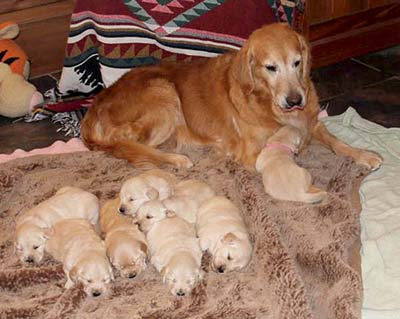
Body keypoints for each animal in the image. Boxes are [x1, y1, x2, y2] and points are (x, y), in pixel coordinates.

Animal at [80, 23, 382, 180]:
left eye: (297, 62)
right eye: (270, 68)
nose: (295, 100)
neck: (267, 101)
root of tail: (96, 105)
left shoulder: (312, 123)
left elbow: (338, 142)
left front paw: (364, 154)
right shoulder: (252, 152)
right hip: (164, 94)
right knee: (127, 145)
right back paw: (177, 159)